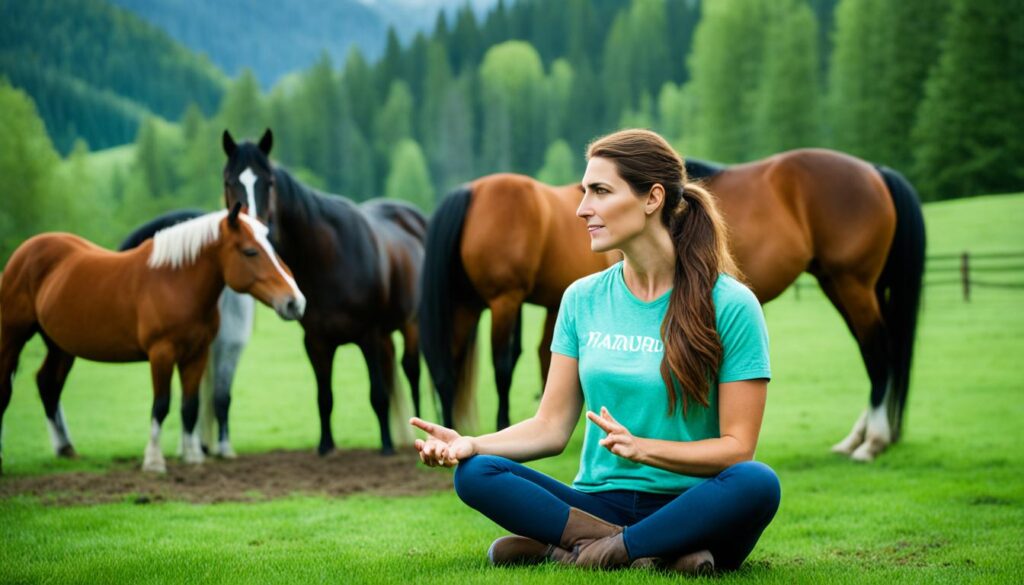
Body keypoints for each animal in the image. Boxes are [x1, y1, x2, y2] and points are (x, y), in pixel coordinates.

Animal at [222, 129, 425, 456]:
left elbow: (378, 394)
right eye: (229, 180)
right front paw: (326, 445)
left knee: (412, 371)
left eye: (269, 181)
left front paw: (386, 446)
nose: (252, 228)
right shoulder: (316, 342)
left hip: (411, 324)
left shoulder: (368, 336)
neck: (327, 259)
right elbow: (324, 397)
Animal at [419, 149, 925, 463]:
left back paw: (871, 442)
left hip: (852, 283)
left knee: (878, 353)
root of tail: (874, 170)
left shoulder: (510, 300)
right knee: (877, 353)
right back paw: (863, 437)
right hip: (845, 284)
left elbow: (507, 365)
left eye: (600, 190)